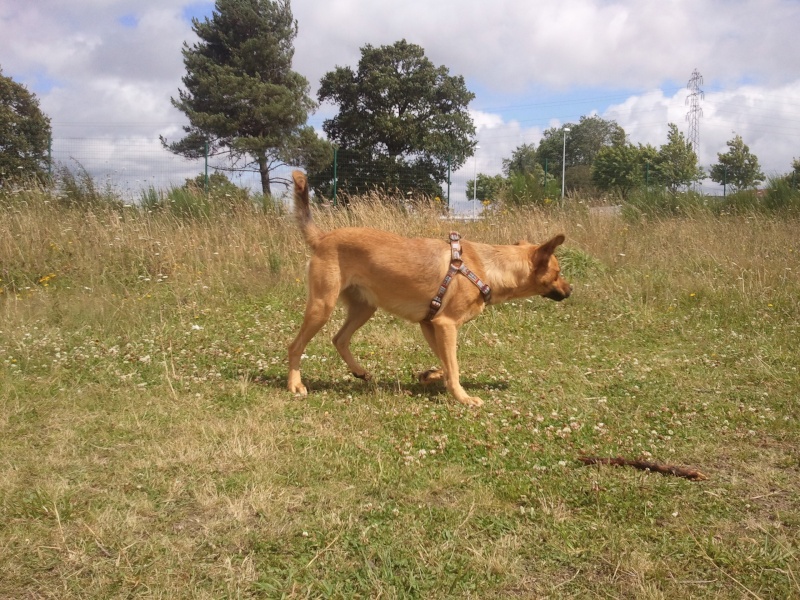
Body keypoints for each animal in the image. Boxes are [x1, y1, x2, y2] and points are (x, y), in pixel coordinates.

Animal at [286, 172, 568, 408]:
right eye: (557, 273)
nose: (570, 290)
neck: (488, 268)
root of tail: (322, 237)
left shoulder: (431, 324)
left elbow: (448, 363)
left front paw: (430, 375)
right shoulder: (446, 324)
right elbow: (454, 366)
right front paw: (463, 397)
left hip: (364, 307)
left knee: (339, 339)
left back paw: (359, 371)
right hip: (322, 306)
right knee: (295, 346)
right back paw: (295, 384)